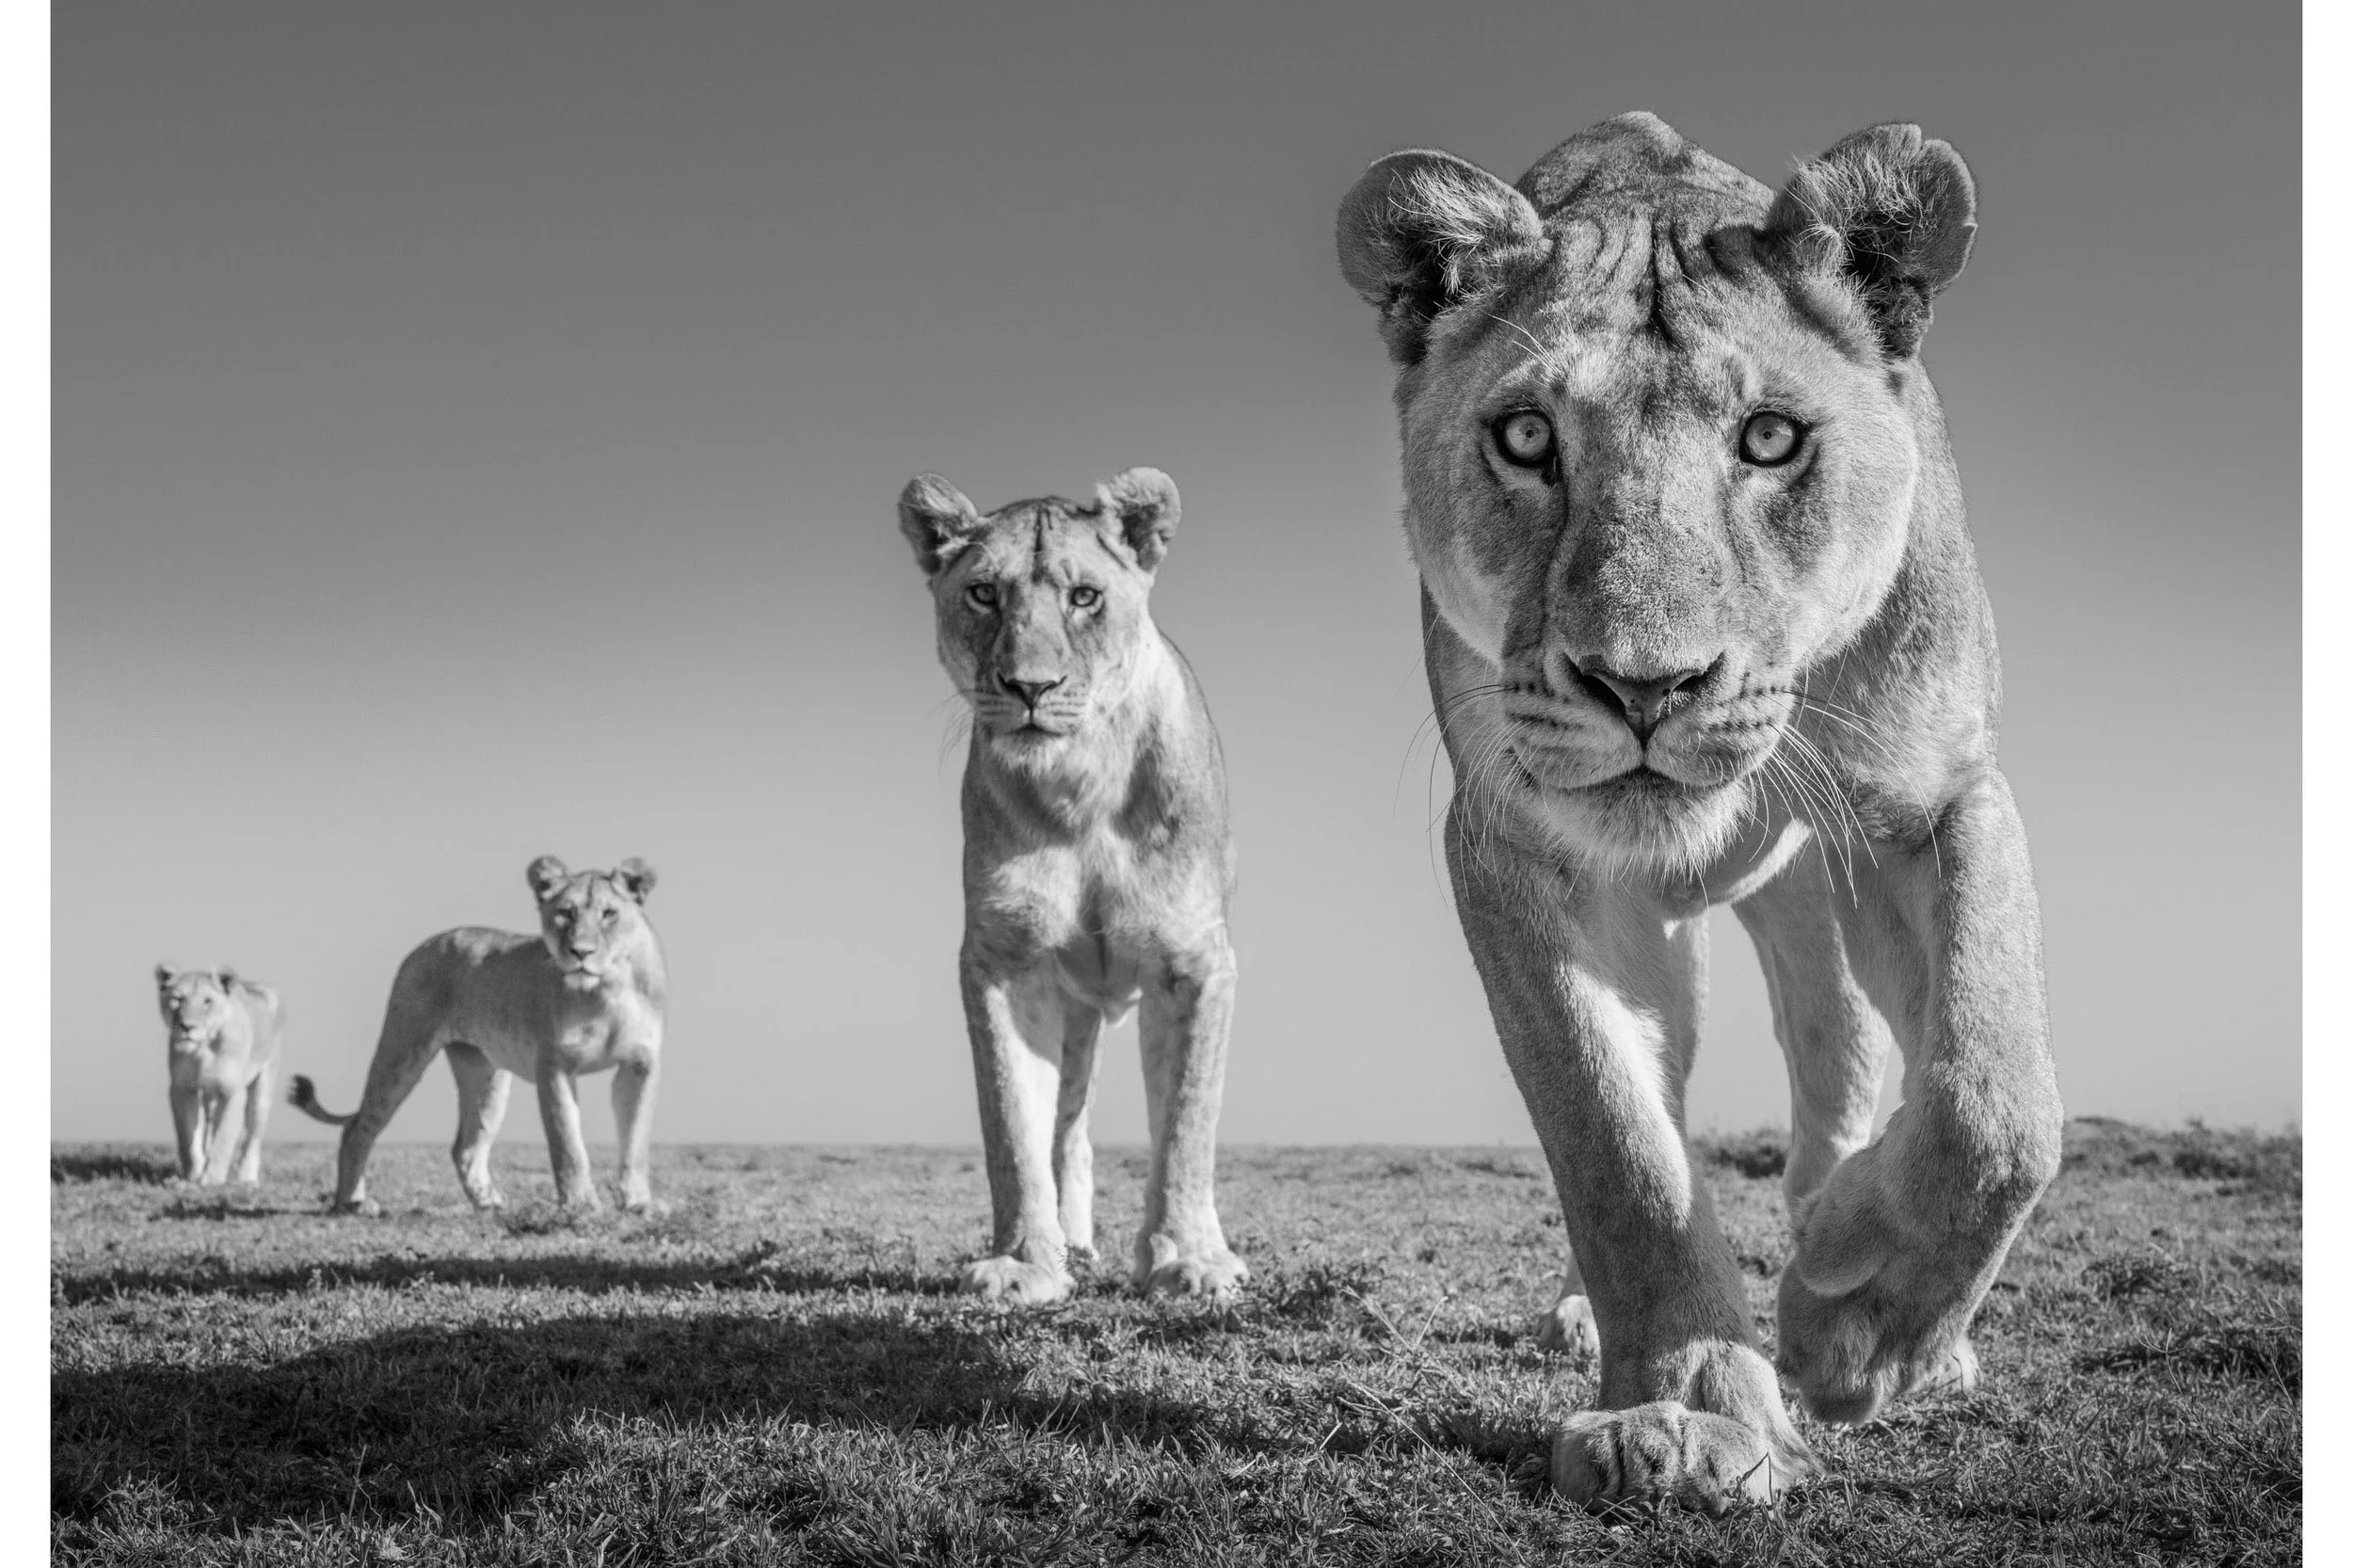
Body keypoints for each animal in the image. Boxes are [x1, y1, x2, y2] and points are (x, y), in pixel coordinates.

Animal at [156, 964, 285, 1185]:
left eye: (208, 1001)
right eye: (178, 999)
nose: (187, 1027)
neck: (202, 1048)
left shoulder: (232, 1092)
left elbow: (223, 1139)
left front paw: (212, 1179)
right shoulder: (182, 1090)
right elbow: (187, 1139)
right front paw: (193, 1176)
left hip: (263, 1087)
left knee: (253, 1137)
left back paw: (247, 1179)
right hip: (209, 1096)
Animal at [287, 855, 668, 1214]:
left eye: (609, 914)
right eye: (564, 914)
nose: (581, 952)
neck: (607, 989)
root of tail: (429, 942)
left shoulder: (641, 1064)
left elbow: (636, 1140)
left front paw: (640, 1204)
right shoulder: (554, 1064)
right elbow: (567, 1142)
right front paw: (581, 1204)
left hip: (484, 1073)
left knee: (466, 1147)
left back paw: (491, 1204)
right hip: (402, 1049)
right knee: (358, 1127)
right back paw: (351, 1203)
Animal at [897, 466, 1247, 1305]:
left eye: (1085, 597)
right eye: (984, 594)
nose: (1030, 686)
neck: (1078, 786)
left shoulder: (1196, 963)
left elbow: (1186, 1120)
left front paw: (1190, 1259)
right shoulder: (1003, 960)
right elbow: (1012, 1125)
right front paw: (1027, 1262)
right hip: (1078, 1010)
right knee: (1068, 1130)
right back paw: (1076, 1242)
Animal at [1335, 113, 2063, 1512]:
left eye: (1771, 439)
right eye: (1527, 438)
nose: (1642, 685)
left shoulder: (1934, 797)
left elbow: (1995, 1098)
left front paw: (1853, 1318)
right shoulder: (1517, 845)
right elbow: (1615, 1140)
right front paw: (1681, 1407)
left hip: (1819, 907)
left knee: (1853, 1055)